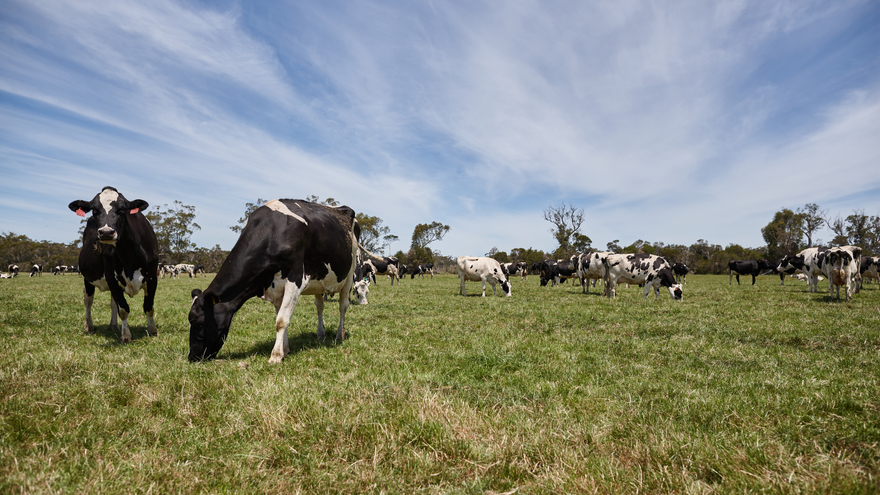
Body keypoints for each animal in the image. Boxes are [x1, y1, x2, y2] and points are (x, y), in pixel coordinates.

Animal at [68, 186, 159, 343]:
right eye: (94, 210)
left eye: (122, 209)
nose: (106, 233)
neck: (130, 255)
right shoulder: (112, 279)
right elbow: (123, 309)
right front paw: (126, 336)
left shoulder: (152, 277)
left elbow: (148, 306)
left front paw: (152, 331)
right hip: (87, 278)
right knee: (88, 300)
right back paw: (89, 326)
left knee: (111, 303)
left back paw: (113, 325)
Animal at [188, 199, 360, 363]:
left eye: (196, 320)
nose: (191, 357)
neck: (272, 232)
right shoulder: (275, 288)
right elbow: (280, 318)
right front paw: (285, 350)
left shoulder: (296, 279)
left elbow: (282, 320)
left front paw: (276, 355)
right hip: (319, 280)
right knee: (319, 306)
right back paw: (320, 334)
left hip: (350, 274)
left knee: (343, 306)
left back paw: (339, 335)